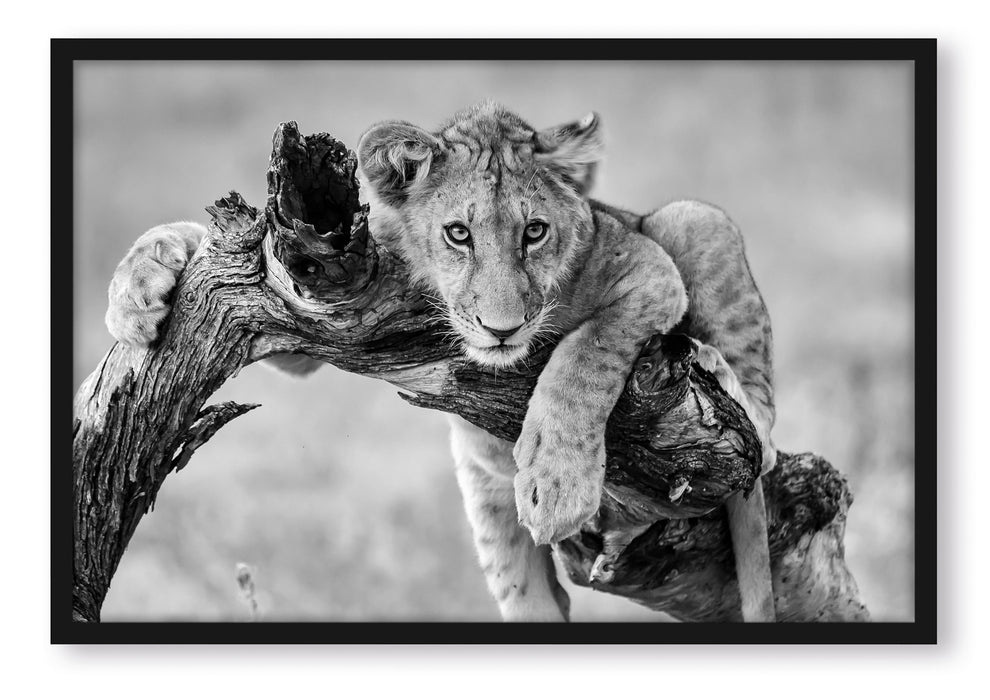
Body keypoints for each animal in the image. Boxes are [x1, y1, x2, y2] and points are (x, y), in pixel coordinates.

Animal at [105, 103, 778, 622]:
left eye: (535, 232)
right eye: (458, 234)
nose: (502, 329)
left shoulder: (650, 275)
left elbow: (583, 357)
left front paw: (557, 484)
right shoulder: (321, 289)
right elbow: (212, 247)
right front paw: (137, 291)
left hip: (694, 220)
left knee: (761, 431)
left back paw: (719, 374)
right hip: (494, 523)